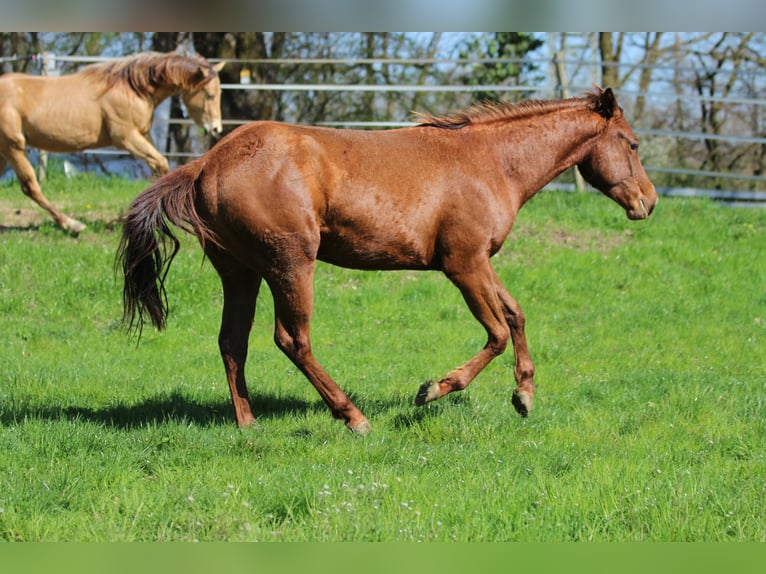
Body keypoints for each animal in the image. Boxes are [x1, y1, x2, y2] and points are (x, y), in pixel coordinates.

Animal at [0, 51, 225, 234]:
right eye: (210, 94)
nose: (216, 128)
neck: (133, 89)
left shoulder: (143, 135)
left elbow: (158, 169)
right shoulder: (127, 138)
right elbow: (160, 164)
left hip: (5, 152)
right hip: (13, 147)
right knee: (30, 186)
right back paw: (71, 224)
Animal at [118, 87, 657, 434]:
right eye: (632, 144)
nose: (648, 203)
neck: (489, 161)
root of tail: (205, 164)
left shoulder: (480, 261)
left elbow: (517, 315)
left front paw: (524, 396)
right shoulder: (463, 265)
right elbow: (498, 332)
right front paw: (434, 389)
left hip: (241, 274)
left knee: (233, 342)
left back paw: (248, 424)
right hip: (291, 266)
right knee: (292, 340)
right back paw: (354, 418)